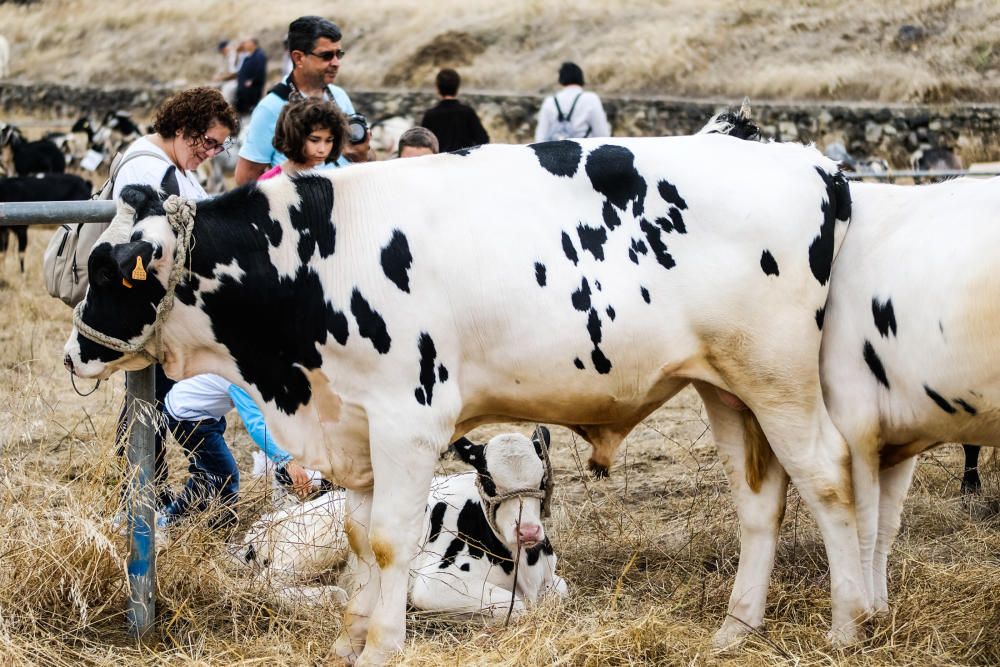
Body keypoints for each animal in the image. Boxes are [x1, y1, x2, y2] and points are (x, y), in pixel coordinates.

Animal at [238, 430, 568, 620]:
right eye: (488, 479)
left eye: (542, 477)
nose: (528, 532)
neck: (524, 565)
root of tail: (268, 522)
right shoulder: (433, 584)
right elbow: (517, 607)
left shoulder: (551, 579)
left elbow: (559, 590)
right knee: (266, 582)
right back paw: (332, 595)